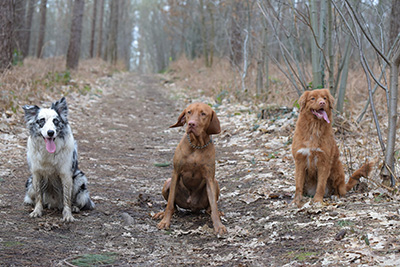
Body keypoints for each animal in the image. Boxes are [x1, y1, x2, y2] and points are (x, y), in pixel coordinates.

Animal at [153, 103, 227, 236]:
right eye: (189, 112)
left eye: (203, 114)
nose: (191, 124)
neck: (197, 145)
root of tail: (191, 206)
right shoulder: (176, 173)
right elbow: (170, 204)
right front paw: (165, 222)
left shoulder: (210, 178)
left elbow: (214, 206)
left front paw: (218, 226)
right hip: (167, 182)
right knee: (174, 207)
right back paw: (162, 213)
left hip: (215, 183)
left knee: (209, 208)